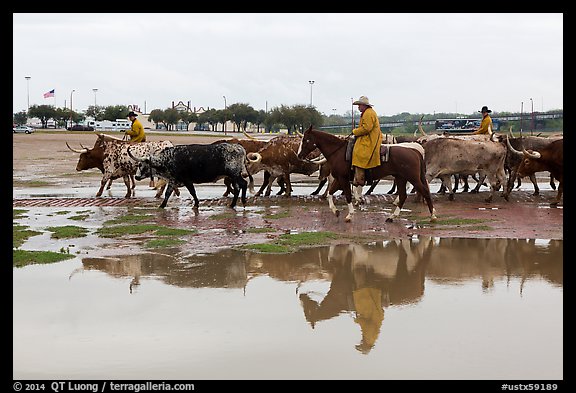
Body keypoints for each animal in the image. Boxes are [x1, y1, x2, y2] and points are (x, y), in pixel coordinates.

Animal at [296, 127, 436, 222]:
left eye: (306, 140)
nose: (299, 155)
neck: (339, 152)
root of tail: (415, 151)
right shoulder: (339, 178)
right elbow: (330, 193)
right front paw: (335, 211)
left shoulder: (343, 179)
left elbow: (348, 195)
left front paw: (350, 214)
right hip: (401, 178)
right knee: (403, 196)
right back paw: (392, 216)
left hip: (413, 178)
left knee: (424, 191)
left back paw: (433, 215)